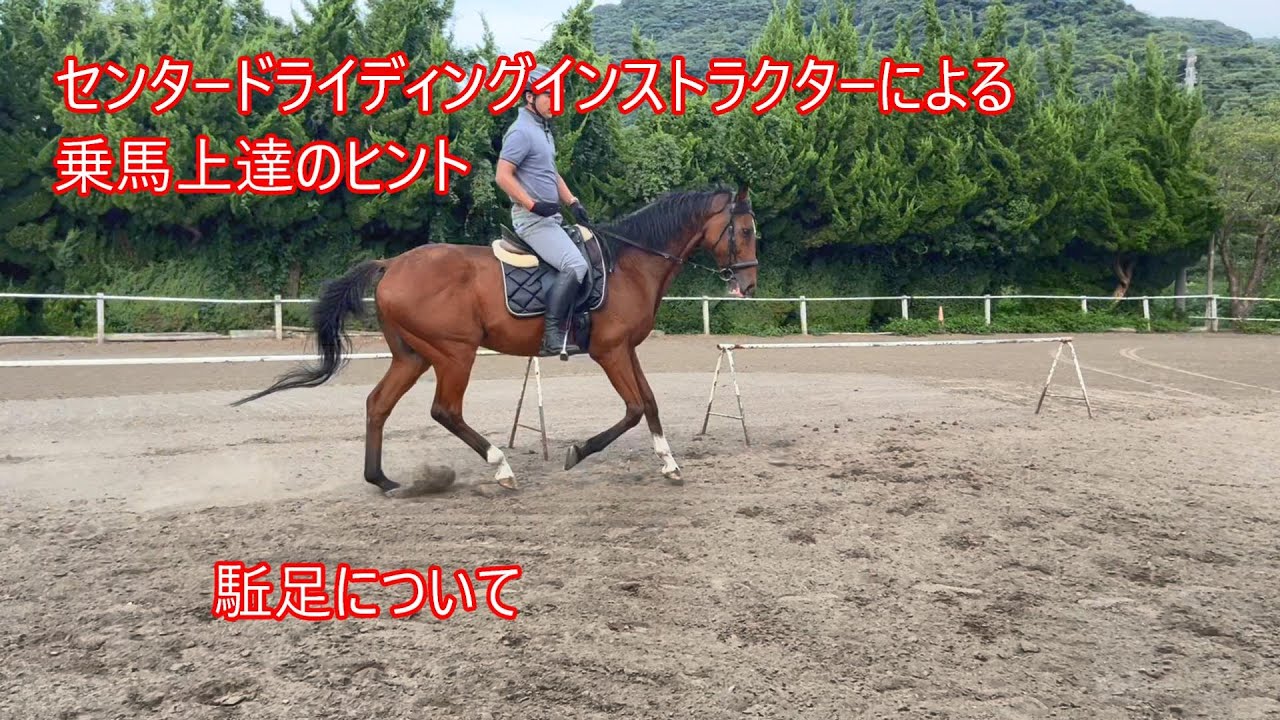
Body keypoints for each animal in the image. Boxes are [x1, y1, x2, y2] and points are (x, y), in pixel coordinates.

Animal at [230, 183, 760, 495]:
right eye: (747, 229)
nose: (749, 285)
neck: (628, 263)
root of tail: (391, 264)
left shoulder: (625, 350)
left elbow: (648, 403)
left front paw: (668, 463)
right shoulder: (609, 352)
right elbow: (632, 409)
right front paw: (577, 452)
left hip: (413, 356)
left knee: (378, 404)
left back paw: (381, 479)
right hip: (453, 353)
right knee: (445, 410)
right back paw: (501, 467)